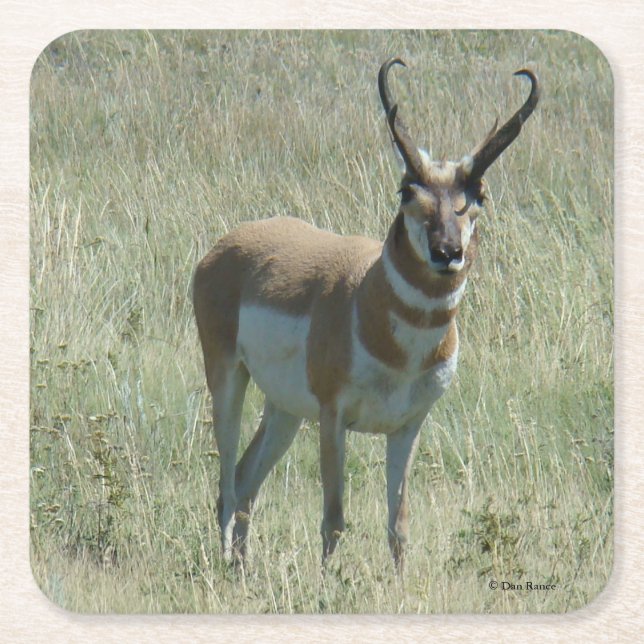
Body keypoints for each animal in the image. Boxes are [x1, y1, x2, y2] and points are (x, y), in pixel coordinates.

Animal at [193, 57, 539, 569]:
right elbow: (334, 519)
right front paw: (327, 582)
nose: (447, 252)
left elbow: (399, 526)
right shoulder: (333, 418)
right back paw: (222, 563)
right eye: (406, 191)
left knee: (246, 479)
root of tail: (228, 244)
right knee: (227, 485)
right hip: (228, 379)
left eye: (478, 193)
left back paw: (241, 568)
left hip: (285, 410)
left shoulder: (408, 426)